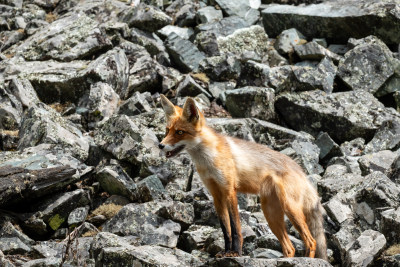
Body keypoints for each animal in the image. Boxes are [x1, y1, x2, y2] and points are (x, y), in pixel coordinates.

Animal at [158, 95, 326, 260]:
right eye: (167, 130)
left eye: (180, 132)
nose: (160, 145)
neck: (208, 159)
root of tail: (301, 169)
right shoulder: (216, 194)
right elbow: (225, 229)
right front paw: (225, 252)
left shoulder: (229, 190)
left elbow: (235, 228)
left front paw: (235, 253)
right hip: (271, 214)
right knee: (290, 248)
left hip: (290, 208)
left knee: (311, 241)